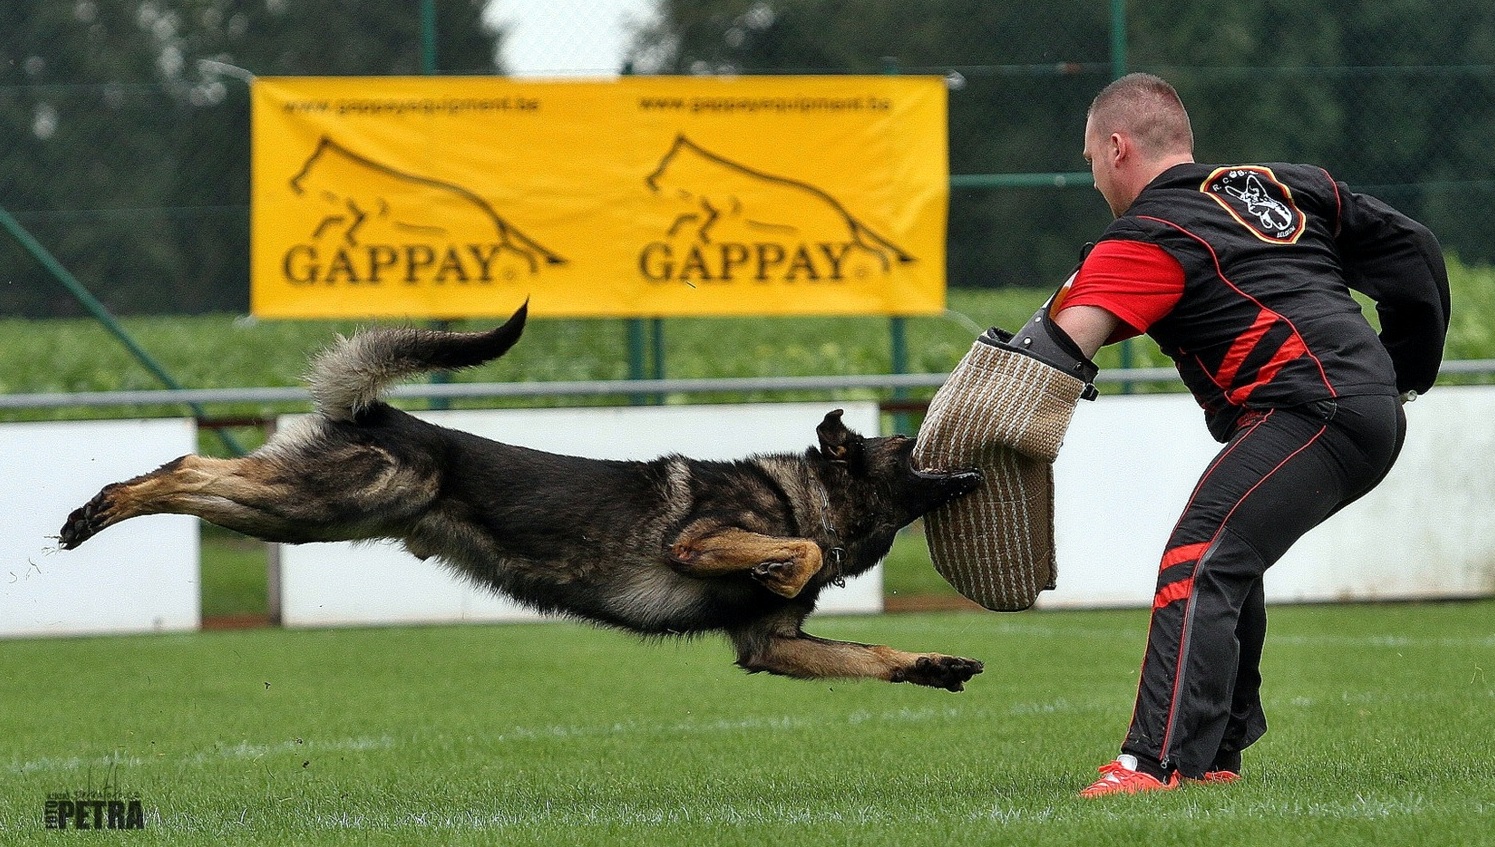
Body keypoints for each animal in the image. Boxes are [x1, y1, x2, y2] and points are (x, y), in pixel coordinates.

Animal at [58, 303, 986, 690]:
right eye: (911, 445)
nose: (971, 464)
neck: (810, 496)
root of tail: (381, 410)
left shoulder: (771, 648)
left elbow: (868, 653)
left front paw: (931, 664)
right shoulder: (696, 542)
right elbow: (793, 550)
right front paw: (784, 565)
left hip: (307, 515)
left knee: (201, 474)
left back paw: (96, 509)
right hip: (316, 505)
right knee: (186, 465)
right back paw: (96, 508)